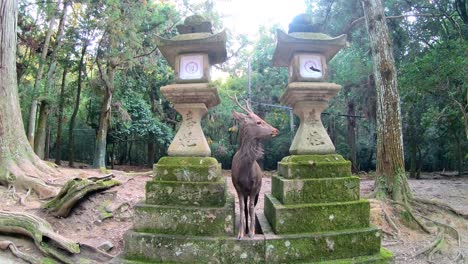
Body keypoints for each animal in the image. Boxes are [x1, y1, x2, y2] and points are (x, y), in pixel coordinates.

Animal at [230, 96, 278, 239]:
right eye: (258, 122)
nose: (275, 130)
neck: (245, 170)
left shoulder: (255, 187)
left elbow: (252, 208)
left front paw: (251, 232)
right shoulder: (238, 187)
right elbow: (241, 207)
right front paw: (240, 233)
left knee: (251, 207)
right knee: (245, 208)